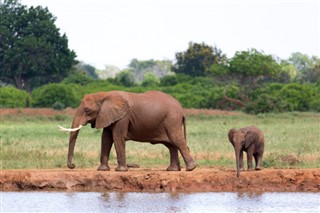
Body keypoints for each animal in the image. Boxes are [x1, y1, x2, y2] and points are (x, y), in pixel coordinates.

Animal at [58, 90, 196, 172]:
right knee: (171, 144)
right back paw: (172, 170)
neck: (104, 95)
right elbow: (106, 139)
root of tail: (182, 109)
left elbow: (117, 137)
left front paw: (120, 170)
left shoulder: (123, 117)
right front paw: (102, 170)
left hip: (172, 120)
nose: (73, 165)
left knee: (176, 140)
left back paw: (191, 168)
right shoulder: (108, 116)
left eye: (87, 110)